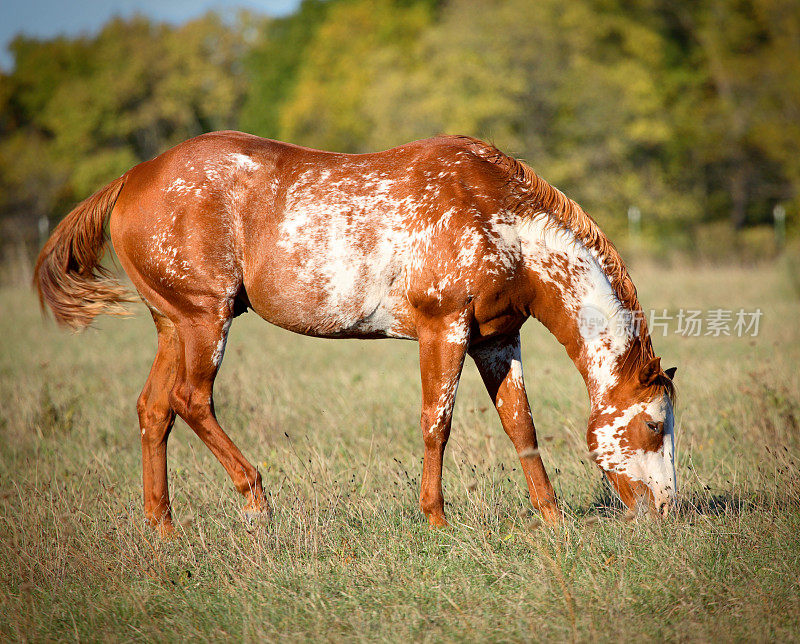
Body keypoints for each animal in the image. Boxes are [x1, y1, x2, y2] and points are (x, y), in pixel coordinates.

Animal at [34, 132, 680, 532]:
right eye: (654, 425)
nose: (666, 511)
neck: (501, 220)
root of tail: (133, 176)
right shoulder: (444, 330)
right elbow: (437, 425)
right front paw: (436, 518)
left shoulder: (496, 339)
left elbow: (521, 425)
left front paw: (551, 518)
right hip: (203, 320)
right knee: (191, 400)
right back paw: (256, 500)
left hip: (171, 324)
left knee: (154, 410)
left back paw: (164, 526)